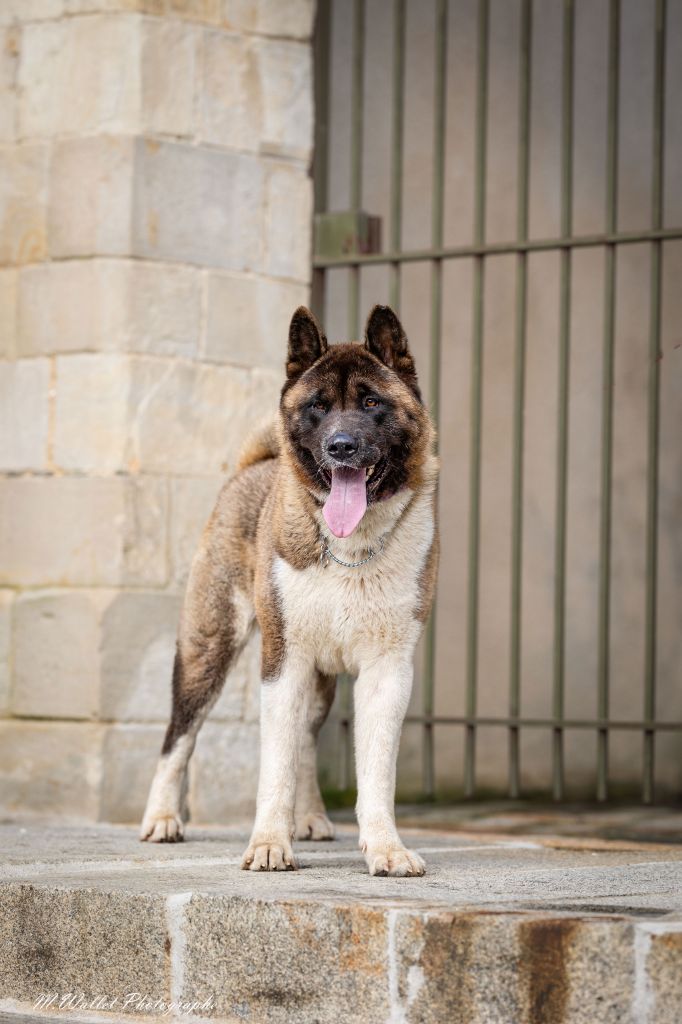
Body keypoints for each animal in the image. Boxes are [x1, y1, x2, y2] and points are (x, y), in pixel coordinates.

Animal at [140, 301, 438, 872]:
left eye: (372, 402)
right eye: (318, 407)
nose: (340, 446)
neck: (350, 548)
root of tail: (254, 467)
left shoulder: (388, 671)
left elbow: (375, 771)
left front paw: (385, 846)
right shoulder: (283, 661)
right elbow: (273, 766)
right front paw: (268, 844)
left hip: (318, 683)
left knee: (304, 743)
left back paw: (312, 818)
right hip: (208, 649)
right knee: (178, 737)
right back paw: (162, 818)